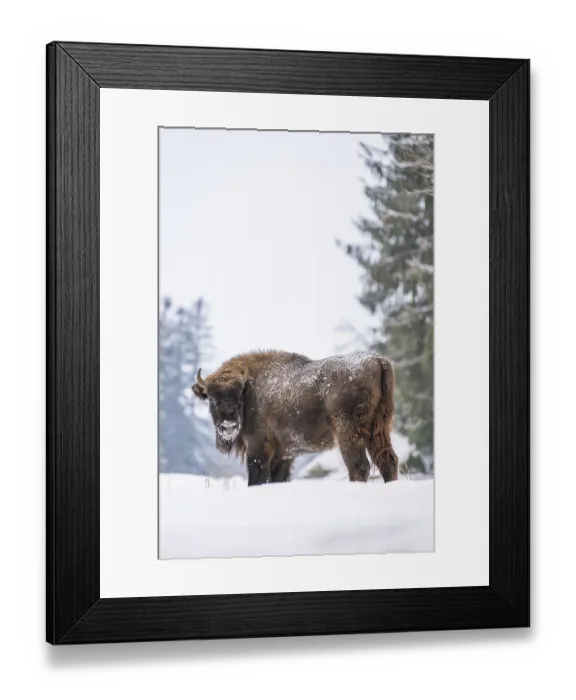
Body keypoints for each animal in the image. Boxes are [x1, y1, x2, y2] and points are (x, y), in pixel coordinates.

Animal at [191, 350, 399, 486]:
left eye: (239, 395)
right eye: (211, 398)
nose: (229, 426)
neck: (250, 386)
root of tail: (378, 360)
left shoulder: (258, 448)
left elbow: (256, 479)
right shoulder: (284, 455)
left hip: (349, 432)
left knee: (359, 466)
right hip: (379, 428)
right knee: (387, 461)